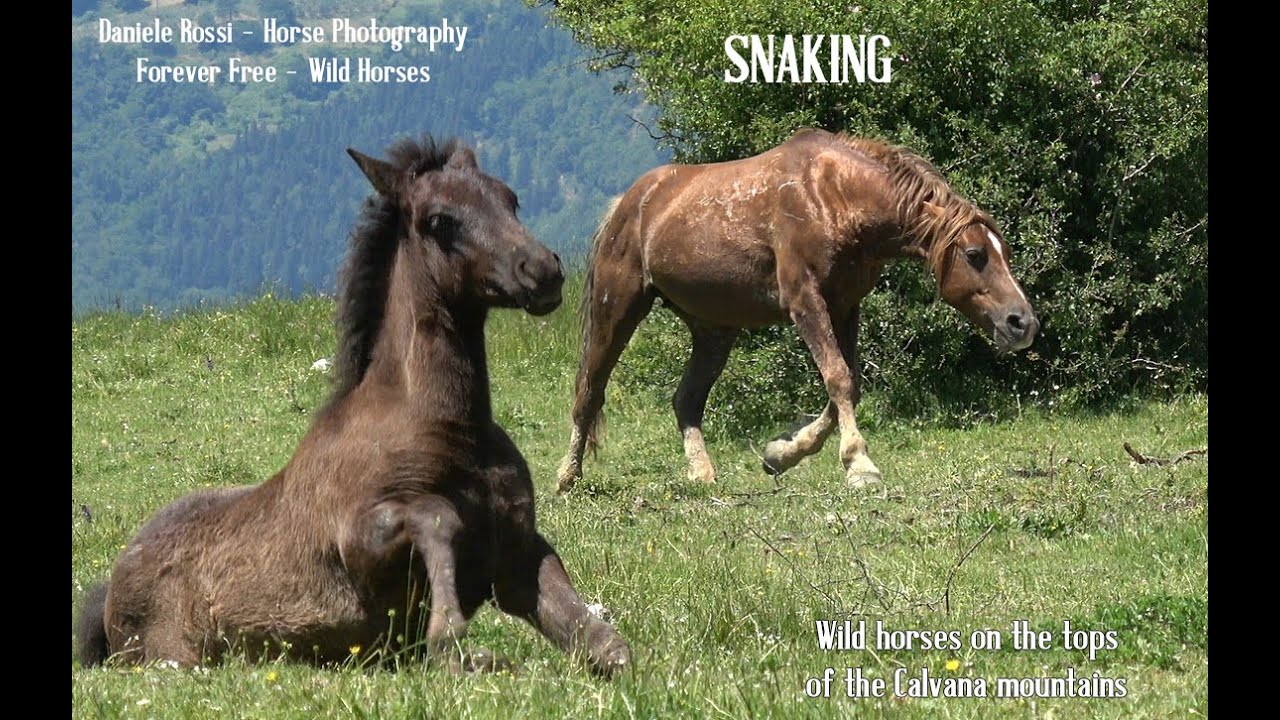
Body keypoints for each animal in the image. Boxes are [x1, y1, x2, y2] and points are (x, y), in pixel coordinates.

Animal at [74, 135, 631, 676]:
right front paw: (452, 645)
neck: (452, 427)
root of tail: (110, 594)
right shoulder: (362, 540)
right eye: (438, 221)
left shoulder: (517, 556)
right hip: (173, 658)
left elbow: (605, 643)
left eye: (509, 198)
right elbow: (437, 516)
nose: (541, 271)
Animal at [556, 129, 1039, 493]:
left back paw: (702, 473)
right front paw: (859, 464)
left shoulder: (844, 306)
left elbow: (848, 384)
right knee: (590, 392)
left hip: (714, 330)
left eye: (1006, 252)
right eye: (976, 255)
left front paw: (782, 453)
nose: (1023, 323)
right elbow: (838, 378)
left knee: (686, 400)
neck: (832, 197)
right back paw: (568, 476)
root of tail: (628, 202)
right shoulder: (805, 301)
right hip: (618, 308)